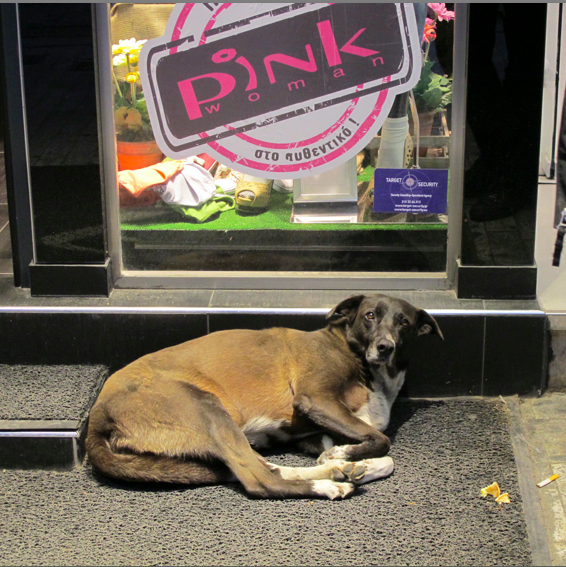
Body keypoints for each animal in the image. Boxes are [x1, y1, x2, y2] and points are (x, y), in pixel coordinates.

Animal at [87, 296, 444, 500]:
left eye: (404, 322)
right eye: (370, 315)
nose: (385, 347)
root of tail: (97, 416)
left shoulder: (315, 434)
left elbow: (383, 454)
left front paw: (352, 462)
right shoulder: (315, 399)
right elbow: (382, 440)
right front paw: (349, 457)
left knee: (265, 467)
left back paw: (334, 473)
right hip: (209, 411)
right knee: (259, 480)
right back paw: (328, 485)